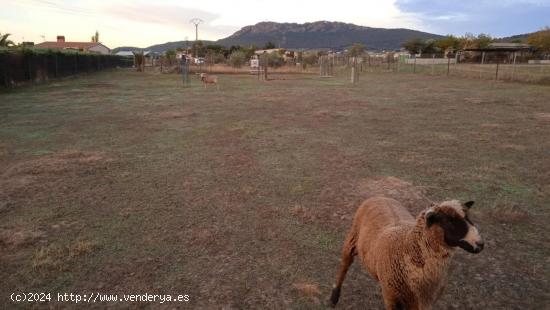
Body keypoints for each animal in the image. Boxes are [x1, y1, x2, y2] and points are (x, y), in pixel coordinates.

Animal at [330, 197, 486, 308]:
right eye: (449, 222)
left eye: (469, 218)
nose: (480, 244)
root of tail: (380, 196)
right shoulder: (392, 298)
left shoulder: (424, 301)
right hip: (352, 239)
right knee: (344, 266)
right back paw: (334, 298)